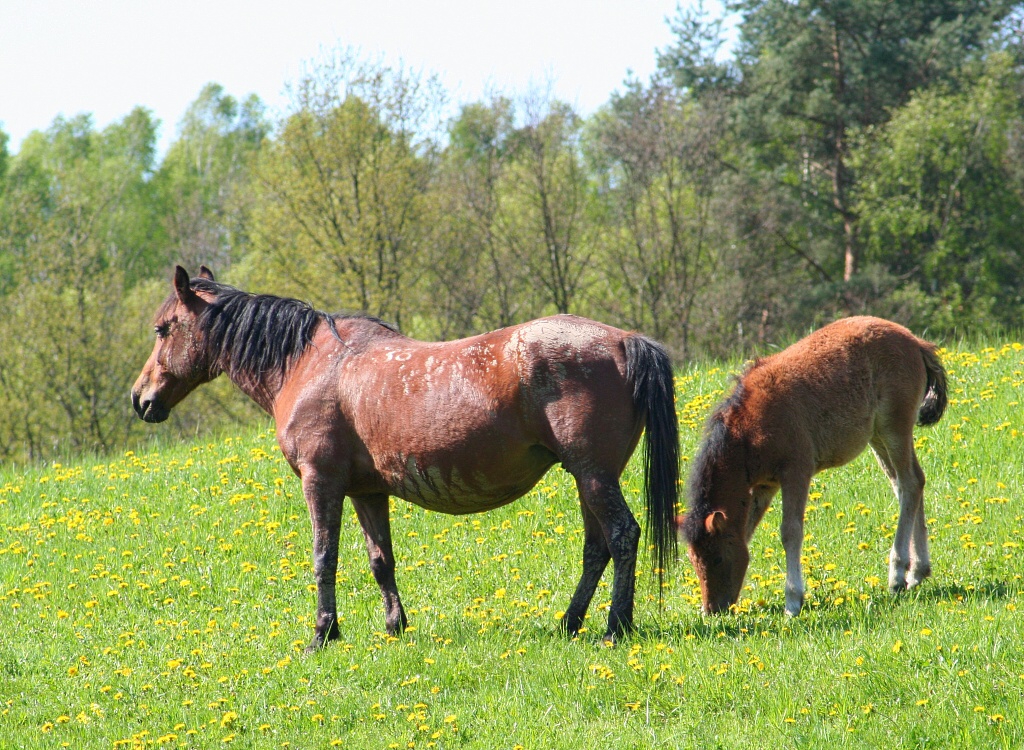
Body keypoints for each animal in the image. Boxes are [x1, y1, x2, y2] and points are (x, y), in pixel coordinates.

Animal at [132, 266, 684, 647]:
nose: (140, 399)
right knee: (597, 548)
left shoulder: (321, 482)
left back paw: (615, 627)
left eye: (162, 329)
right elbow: (381, 561)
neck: (308, 363)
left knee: (622, 536)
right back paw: (568, 623)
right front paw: (395, 627)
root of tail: (624, 340)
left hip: (593, 476)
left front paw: (323, 634)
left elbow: (324, 557)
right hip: (588, 477)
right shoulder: (367, 492)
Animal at [679, 315, 942, 614]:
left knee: (910, 484)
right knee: (908, 484)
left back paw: (898, 574)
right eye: (693, 560)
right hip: (878, 437)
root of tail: (916, 342)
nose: (713, 609)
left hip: (894, 429)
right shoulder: (764, 486)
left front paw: (793, 600)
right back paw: (918, 571)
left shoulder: (796, 472)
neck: (748, 429)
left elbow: (790, 531)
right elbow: (747, 530)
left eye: (718, 558)